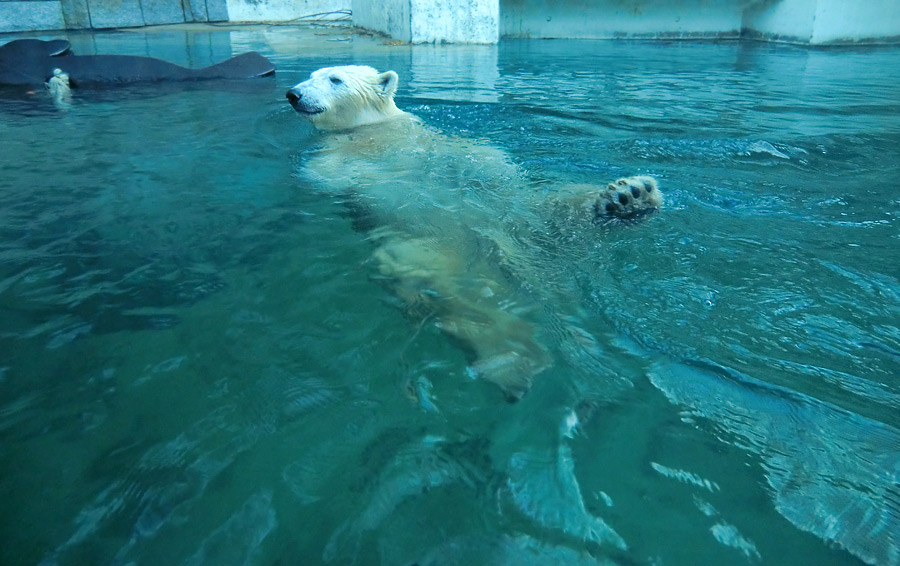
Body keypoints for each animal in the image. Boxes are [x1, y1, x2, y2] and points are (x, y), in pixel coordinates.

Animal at [288, 65, 660, 400]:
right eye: (312, 75)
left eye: (334, 79)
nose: (294, 94)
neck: (372, 128)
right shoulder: (336, 152)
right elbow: (331, 175)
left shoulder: (414, 135)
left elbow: (477, 158)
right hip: (423, 252)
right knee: (464, 303)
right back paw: (516, 364)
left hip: (531, 211)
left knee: (557, 208)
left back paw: (629, 197)